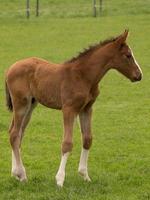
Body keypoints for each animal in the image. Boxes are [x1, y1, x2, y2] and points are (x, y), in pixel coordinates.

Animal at [5, 30, 142, 187]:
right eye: (128, 55)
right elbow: (67, 143)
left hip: (31, 105)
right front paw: (60, 180)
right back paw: (21, 174)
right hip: (21, 104)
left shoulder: (86, 109)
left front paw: (85, 175)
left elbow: (87, 139)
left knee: (18, 133)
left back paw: (16, 173)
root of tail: (10, 69)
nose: (139, 75)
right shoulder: (69, 109)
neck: (83, 76)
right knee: (14, 134)